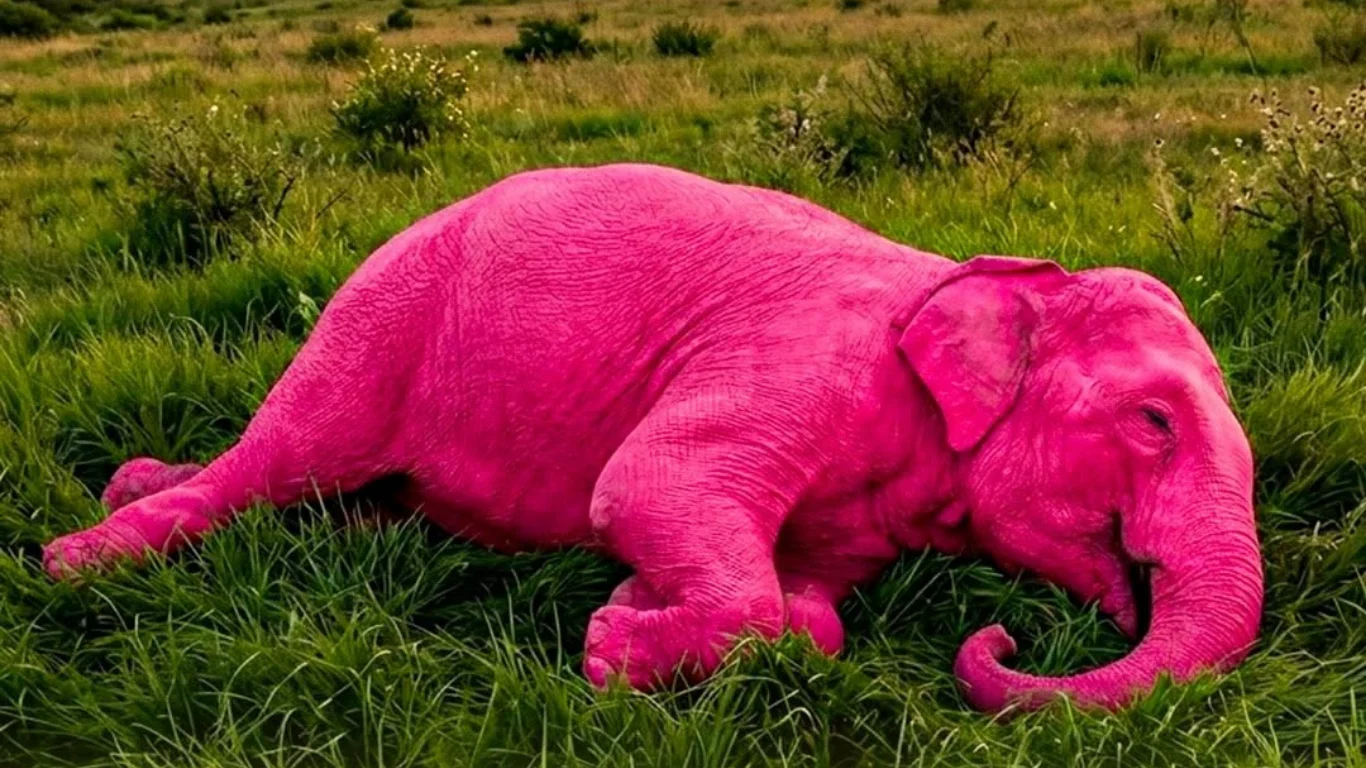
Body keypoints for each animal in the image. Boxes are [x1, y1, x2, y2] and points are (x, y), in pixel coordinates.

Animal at [43, 163, 1263, 713]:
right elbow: (649, 490)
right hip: (378, 321)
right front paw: (606, 648)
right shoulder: (797, 368)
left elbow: (808, 602)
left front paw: (629, 610)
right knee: (281, 459)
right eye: (1153, 422)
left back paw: (132, 487)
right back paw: (75, 562)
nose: (1004, 637)